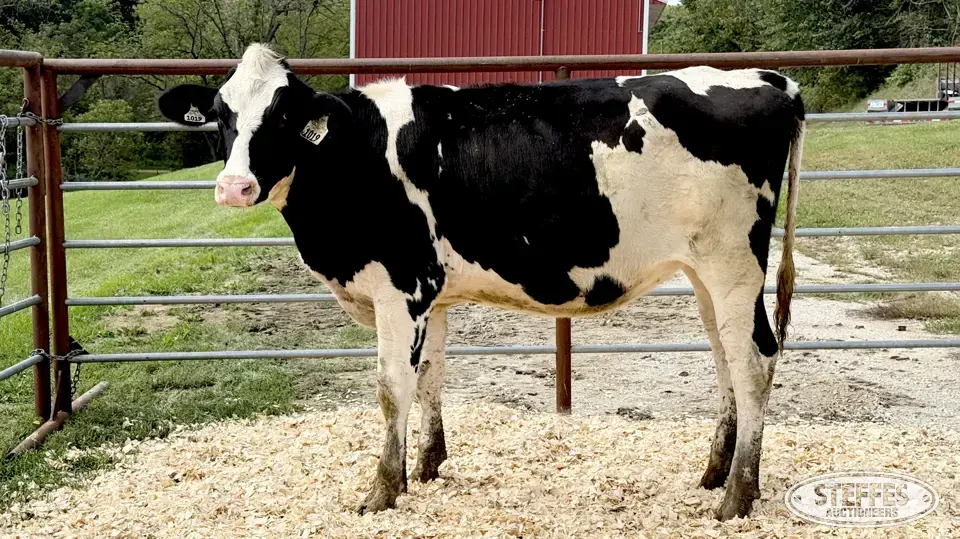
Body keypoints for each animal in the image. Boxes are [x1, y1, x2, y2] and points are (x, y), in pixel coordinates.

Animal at [157, 43, 805, 521]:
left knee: (753, 361)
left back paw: (737, 497)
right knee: (725, 359)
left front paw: (383, 490)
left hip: (732, 262)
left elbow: (392, 387)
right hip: (703, 273)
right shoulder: (432, 294)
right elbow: (430, 377)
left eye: (285, 116)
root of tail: (768, 78)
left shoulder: (401, 286)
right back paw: (713, 473)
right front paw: (426, 468)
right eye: (221, 114)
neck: (353, 157)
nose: (234, 187)